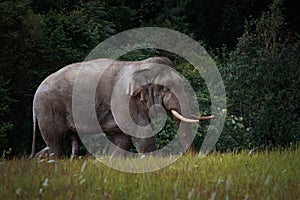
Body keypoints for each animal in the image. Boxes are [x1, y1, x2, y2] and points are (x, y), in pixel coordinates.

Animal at [29, 56, 213, 159]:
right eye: (166, 88)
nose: (193, 159)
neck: (139, 66)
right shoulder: (123, 99)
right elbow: (139, 132)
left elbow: (123, 138)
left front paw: (112, 161)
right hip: (47, 108)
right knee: (55, 141)